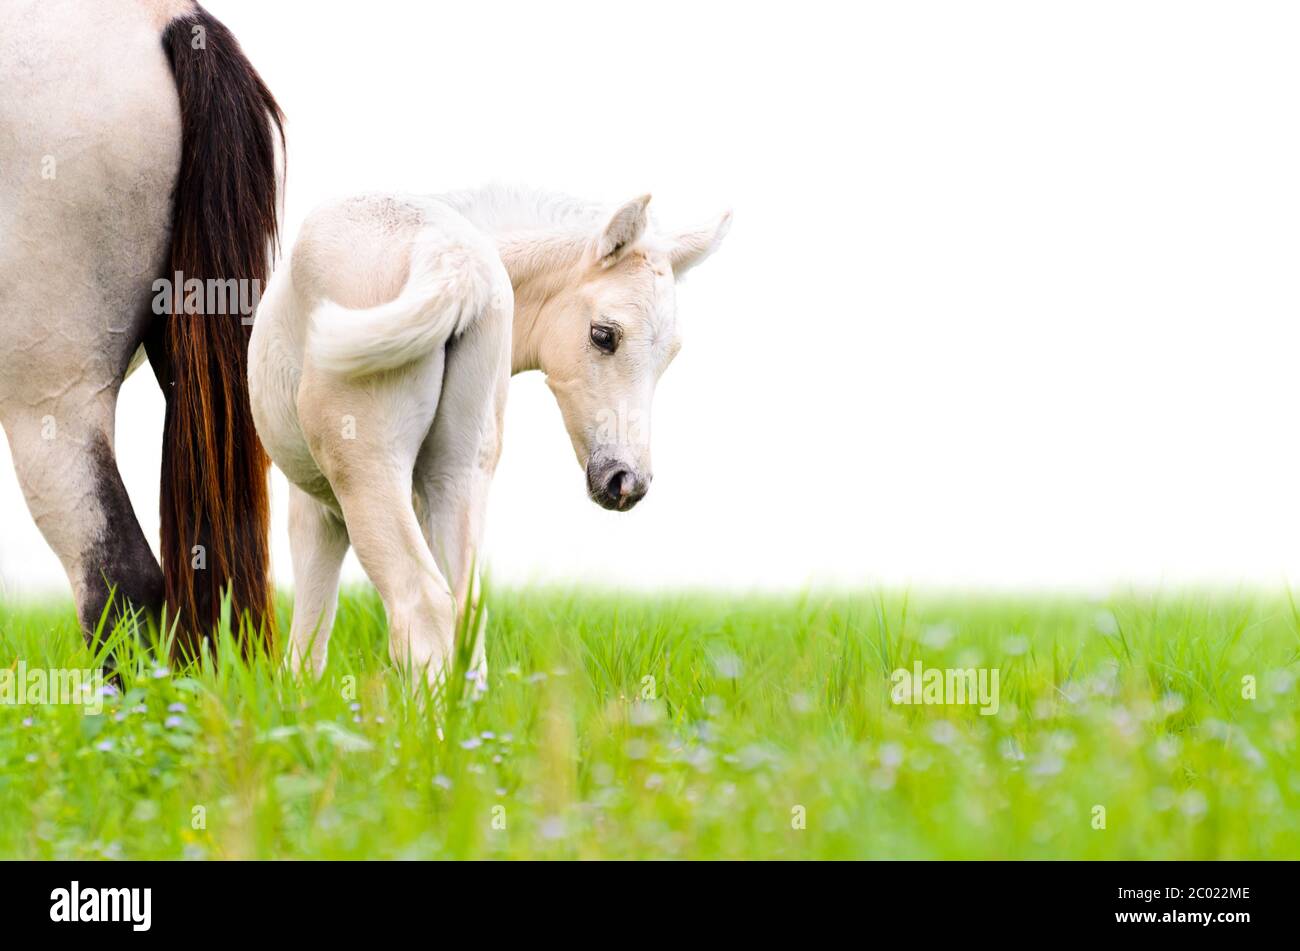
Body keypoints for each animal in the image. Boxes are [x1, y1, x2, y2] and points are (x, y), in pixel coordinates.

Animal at [245, 185, 733, 685]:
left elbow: (309, 636)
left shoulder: (319, 509)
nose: (627, 481)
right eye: (603, 335)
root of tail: (452, 256)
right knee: (465, 611)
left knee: (423, 606)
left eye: (669, 355)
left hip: (367, 473)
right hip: (456, 474)